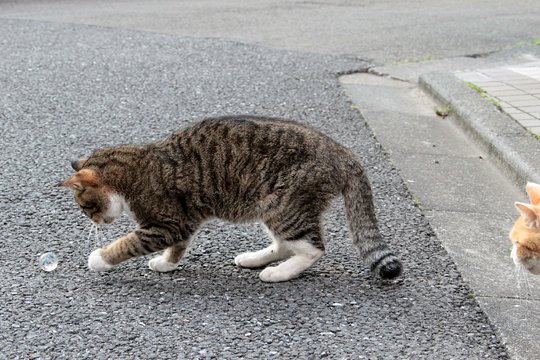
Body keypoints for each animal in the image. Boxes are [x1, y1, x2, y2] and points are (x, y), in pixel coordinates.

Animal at [59, 116, 400, 282]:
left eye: (85, 207)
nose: (93, 221)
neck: (134, 168)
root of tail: (341, 152)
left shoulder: (166, 223)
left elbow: (126, 244)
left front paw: (98, 258)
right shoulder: (184, 221)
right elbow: (178, 247)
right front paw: (167, 264)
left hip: (285, 205)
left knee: (313, 249)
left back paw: (278, 273)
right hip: (273, 207)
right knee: (284, 244)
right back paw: (254, 259)